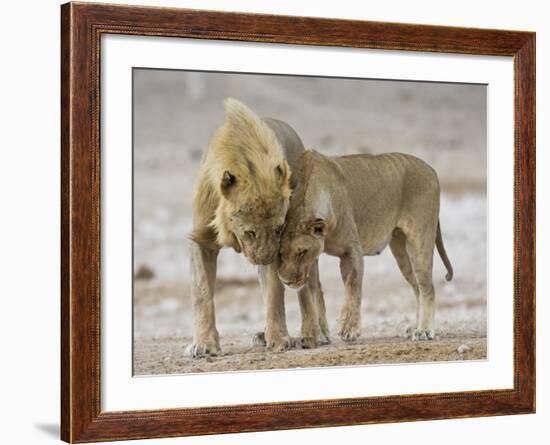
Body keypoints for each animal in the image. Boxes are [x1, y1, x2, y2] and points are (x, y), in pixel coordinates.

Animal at [188, 99, 330, 356]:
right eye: (249, 232)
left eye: (278, 229)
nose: (265, 259)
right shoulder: (202, 240)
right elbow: (202, 292)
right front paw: (204, 344)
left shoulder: (278, 246)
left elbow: (274, 294)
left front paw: (280, 339)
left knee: (310, 286)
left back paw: (315, 334)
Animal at [278, 149, 454, 340]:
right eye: (280, 254)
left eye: (302, 252)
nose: (286, 282)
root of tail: (430, 168)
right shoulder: (317, 258)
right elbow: (317, 289)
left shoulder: (352, 250)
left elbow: (352, 287)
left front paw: (349, 328)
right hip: (401, 251)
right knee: (417, 288)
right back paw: (415, 327)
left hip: (420, 239)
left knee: (427, 288)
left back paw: (424, 330)